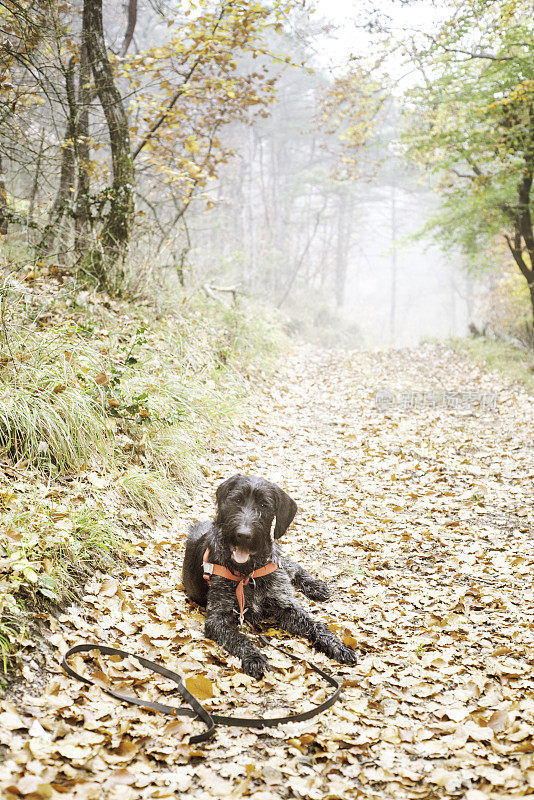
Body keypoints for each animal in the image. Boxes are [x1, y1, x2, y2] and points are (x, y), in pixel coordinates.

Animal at [182, 472, 358, 680]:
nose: (244, 535)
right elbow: (239, 638)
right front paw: (254, 657)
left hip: (280, 563)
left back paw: (315, 586)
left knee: (293, 566)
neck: (248, 573)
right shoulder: (218, 618)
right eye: (237, 500)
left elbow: (316, 624)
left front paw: (336, 645)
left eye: (264, 505)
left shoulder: (286, 606)